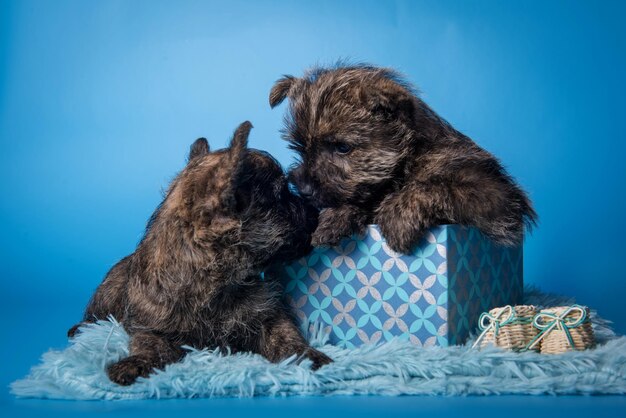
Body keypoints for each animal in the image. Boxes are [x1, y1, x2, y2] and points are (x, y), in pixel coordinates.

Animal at [68, 121, 332, 386]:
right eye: (280, 196)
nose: (316, 212)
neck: (216, 283)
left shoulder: (269, 316)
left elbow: (286, 336)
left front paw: (310, 356)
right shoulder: (151, 328)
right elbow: (151, 346)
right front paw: (135, 363)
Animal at [268, 64, 536, 253]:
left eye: (342, 147)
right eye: (300, 148)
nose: (304, 189)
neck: (407, 164)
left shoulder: (496, 196)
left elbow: (435, 186)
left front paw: (397, 216)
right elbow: (368, 201)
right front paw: (336, 218)